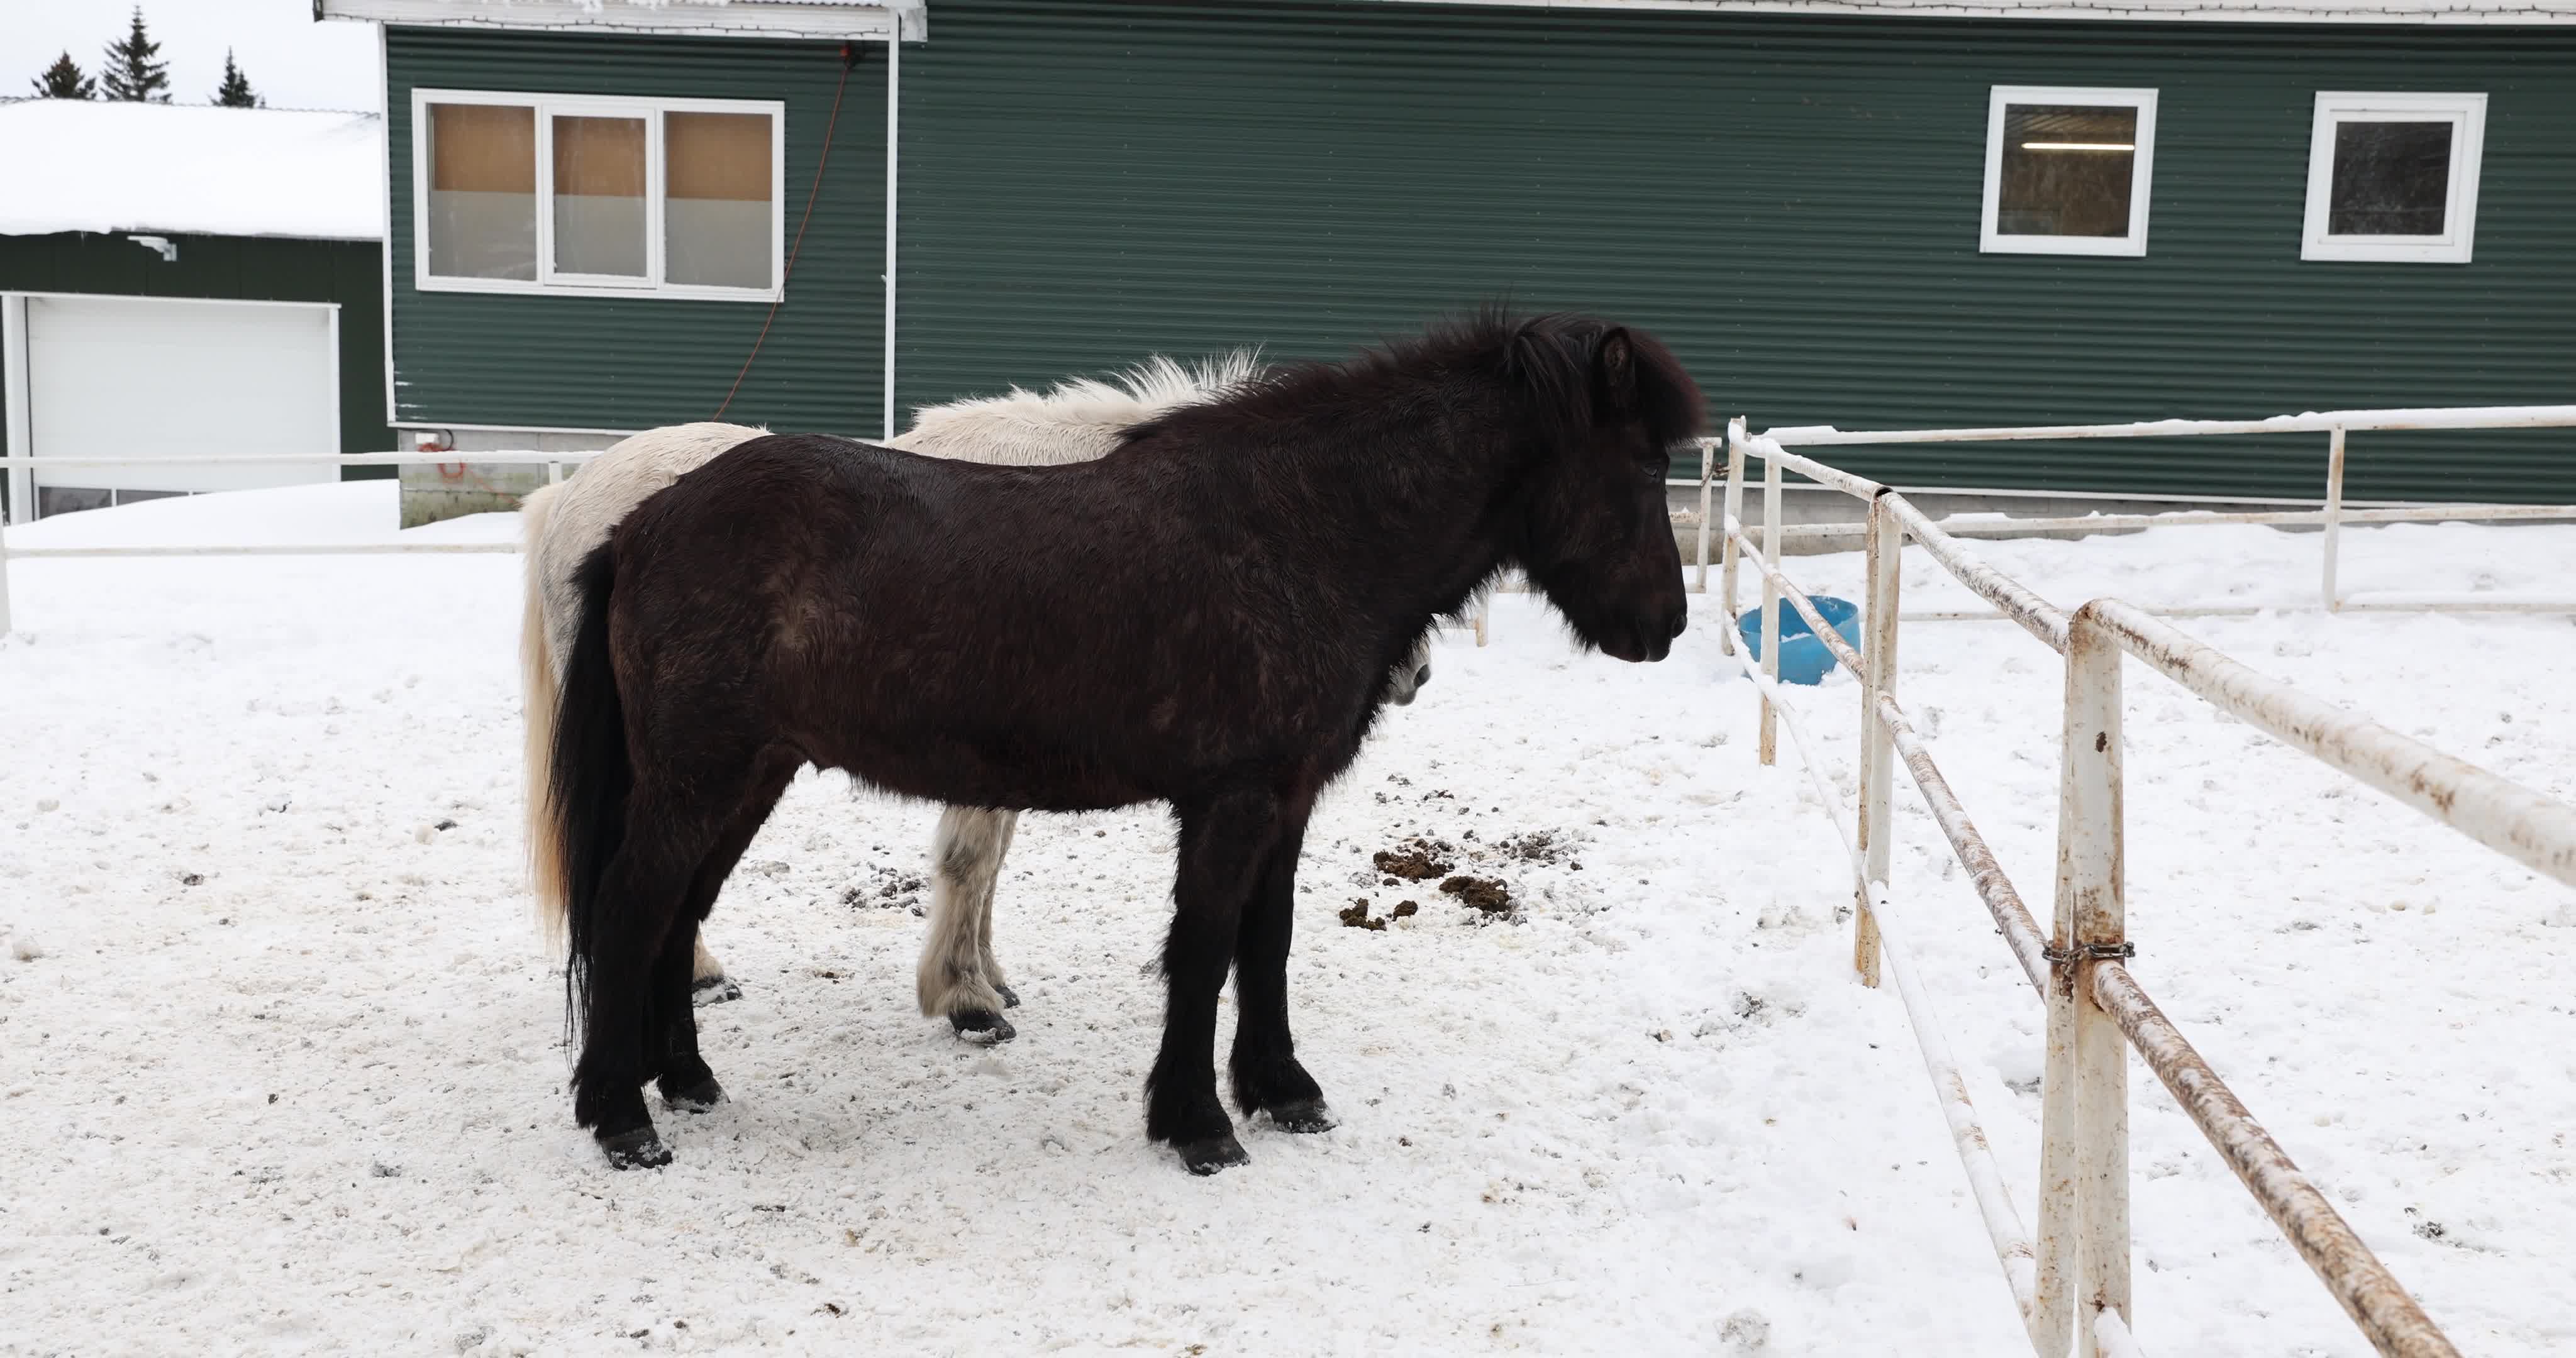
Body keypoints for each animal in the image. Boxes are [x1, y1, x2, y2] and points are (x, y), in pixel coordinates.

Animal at [517, 356, 1437, 1040]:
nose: (1413, 678)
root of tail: (573, 498)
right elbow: (971, 861)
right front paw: (964, 1001)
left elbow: (990, 869)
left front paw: (989, 979)